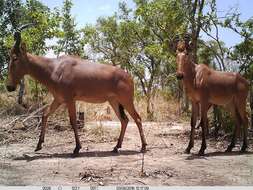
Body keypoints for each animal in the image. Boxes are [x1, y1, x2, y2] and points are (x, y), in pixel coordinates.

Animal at [5, 24, 147, 156]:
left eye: (15, 57)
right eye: (10, 56)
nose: (9, 86)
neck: (55, 67)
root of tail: (129, 76)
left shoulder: (70, 100)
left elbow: (73, 121)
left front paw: (77, 148)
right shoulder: (59, 99)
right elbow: (45, 114)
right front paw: (38, 145)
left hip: (126, 101)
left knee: (138, 118)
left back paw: (143, 147)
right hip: (114, 102)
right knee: (125, 120)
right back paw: (116, 147)